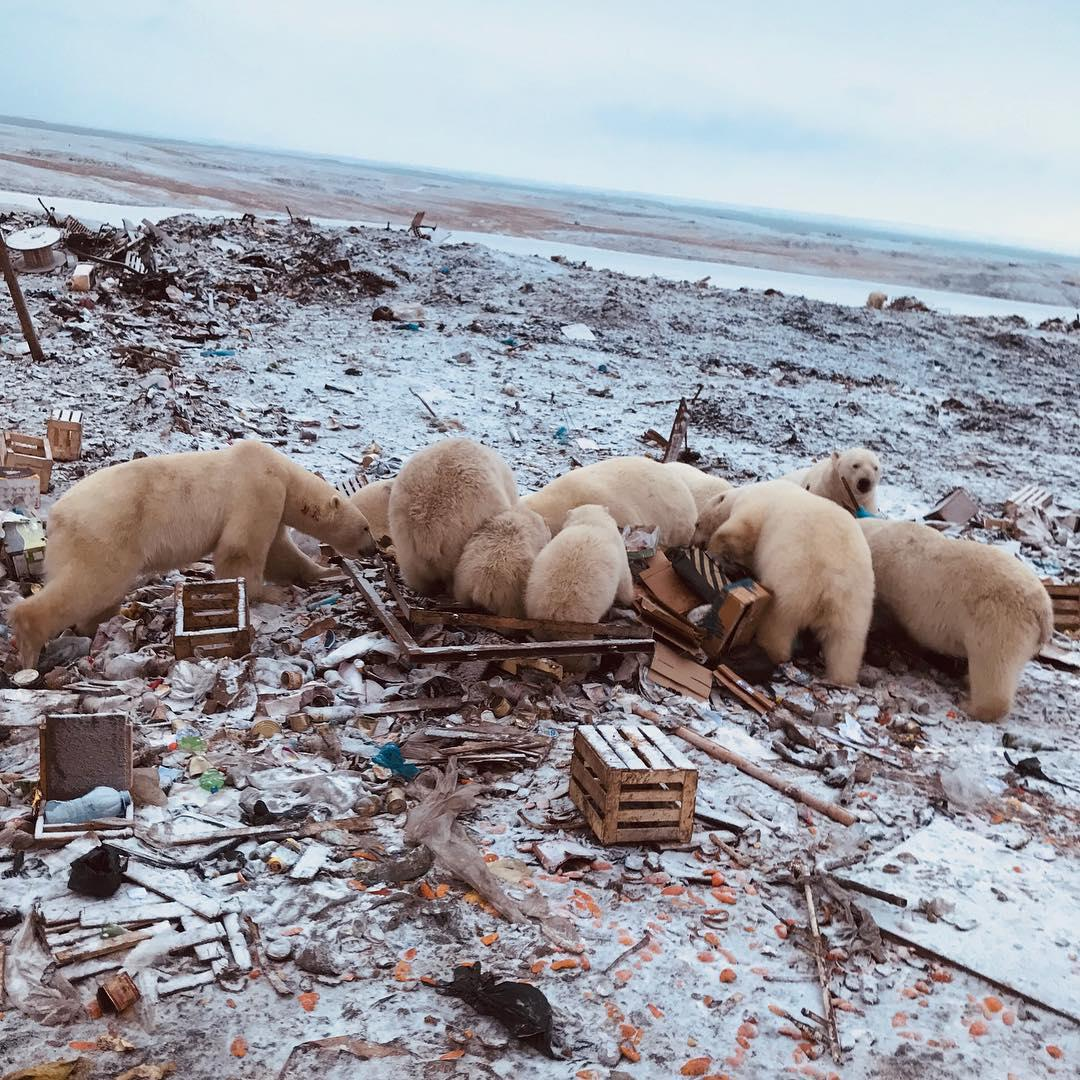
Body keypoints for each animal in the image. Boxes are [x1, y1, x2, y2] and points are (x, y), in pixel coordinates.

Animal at [7, 442, 375, 669]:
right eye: (366, 527)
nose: (373, 549)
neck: (281, 471)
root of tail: (56, 516)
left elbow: (280, 552)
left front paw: (324, 572)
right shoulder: (258, 489)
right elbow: (242, 548)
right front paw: (273, 594)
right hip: (108, 531)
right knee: (93, 581)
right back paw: (29, 641)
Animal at [695, 481, 872, 682]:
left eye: (697, 523)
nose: (694, 541)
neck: (744, 492)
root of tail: (834, 584)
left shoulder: (755, 505)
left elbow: (740, 532)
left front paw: (714, 550)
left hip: (794, 581)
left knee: (779, 622)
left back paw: (766, 650)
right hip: (855, 603)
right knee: (846, 643)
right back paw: (842, 677)